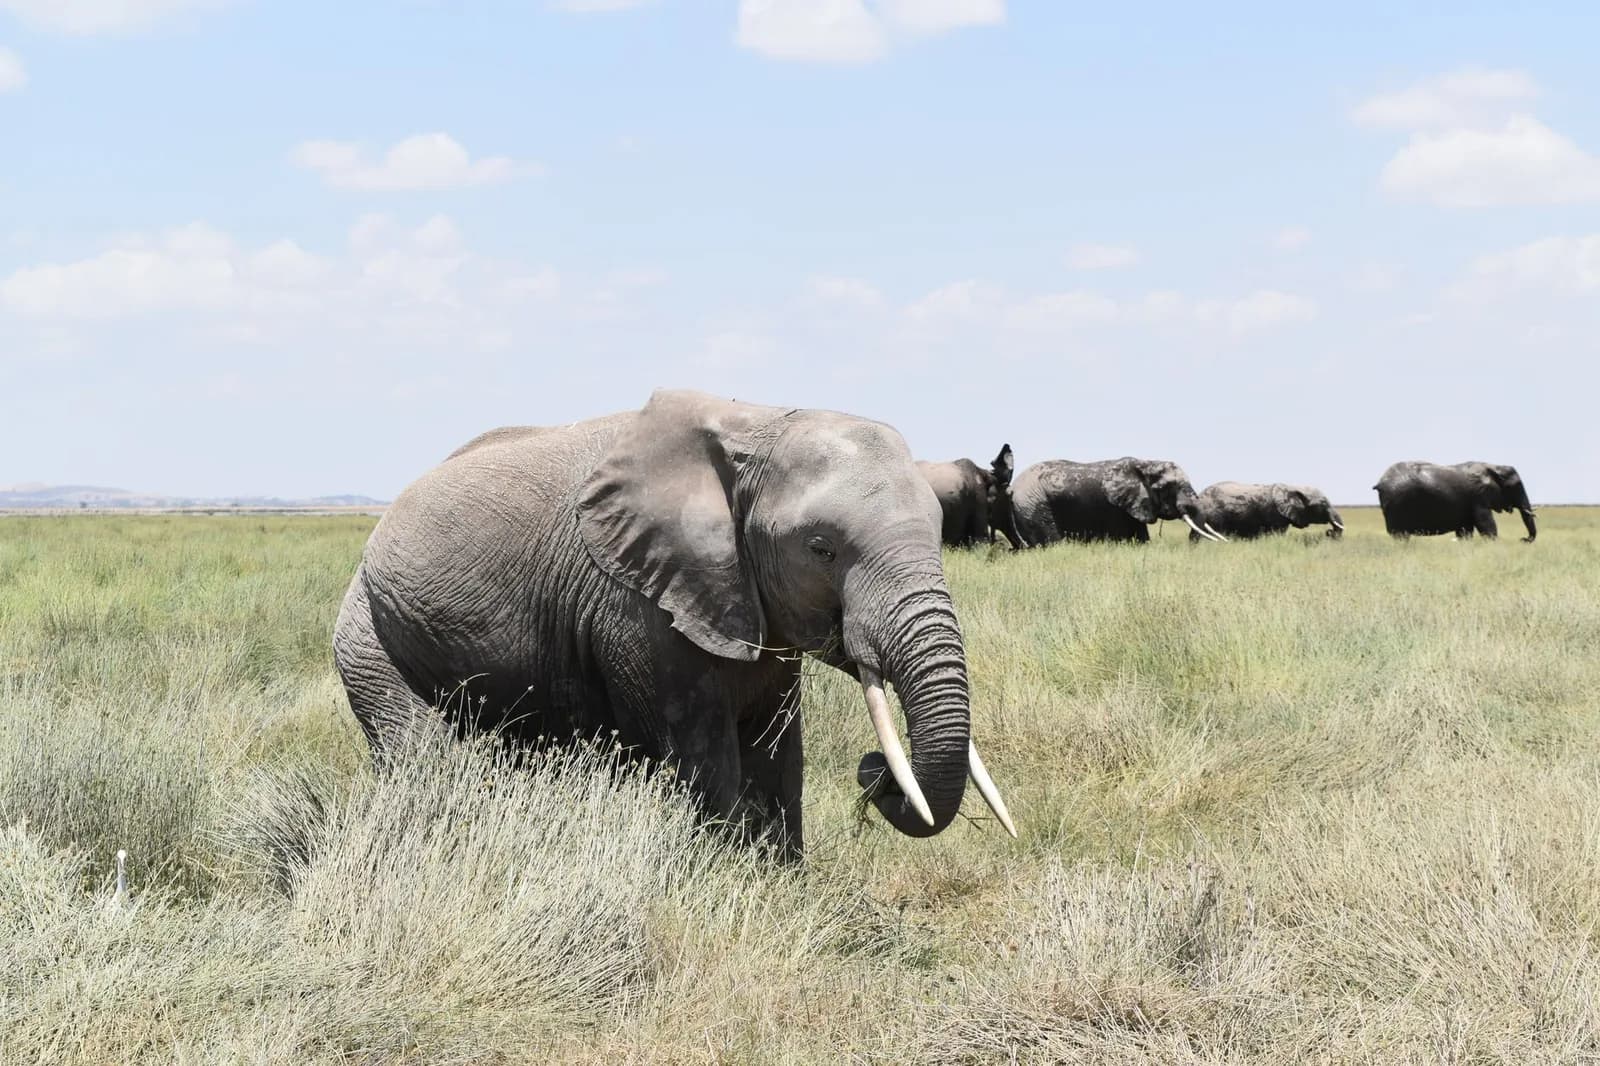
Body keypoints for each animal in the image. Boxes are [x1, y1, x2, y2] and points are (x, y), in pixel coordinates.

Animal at [333, 389, 1015, 862]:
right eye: (822, 550)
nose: (875, 771)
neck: (756, 423)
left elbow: (777, 758)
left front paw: (785, 884)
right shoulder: (639, 605)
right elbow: (709, 760)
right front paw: (736, 885)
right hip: (368, 633)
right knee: (428, 758)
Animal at [1374, 461, 1536, 542]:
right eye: (1516, 487)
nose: (1523, 539)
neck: (1494, 467)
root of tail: (1380, 482)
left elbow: (1465, 531)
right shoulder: (1478, 496)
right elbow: (1486, 525)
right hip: (1397, 503)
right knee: (1400, 535)